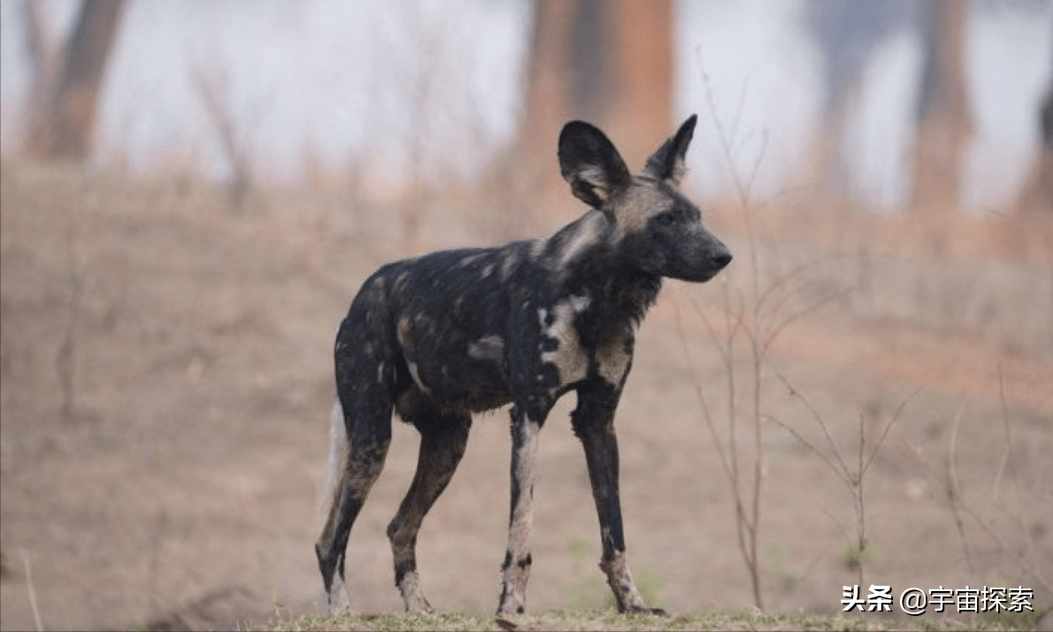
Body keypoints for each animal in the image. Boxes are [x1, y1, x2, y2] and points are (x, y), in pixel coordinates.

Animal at [313, 113, 732, 610]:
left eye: (697, 217)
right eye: (665, 220)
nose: (724, 256)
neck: (599, 301)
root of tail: (364, 292)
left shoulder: (597, 421)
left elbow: (614, 533)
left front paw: (632, 604)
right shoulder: (530, 414)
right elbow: (522, 530)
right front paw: (511, 607)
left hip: (446, 445)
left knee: (399, 527)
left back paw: (420, 611)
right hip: (372, 441)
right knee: (330, 541)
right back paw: (342, 611)